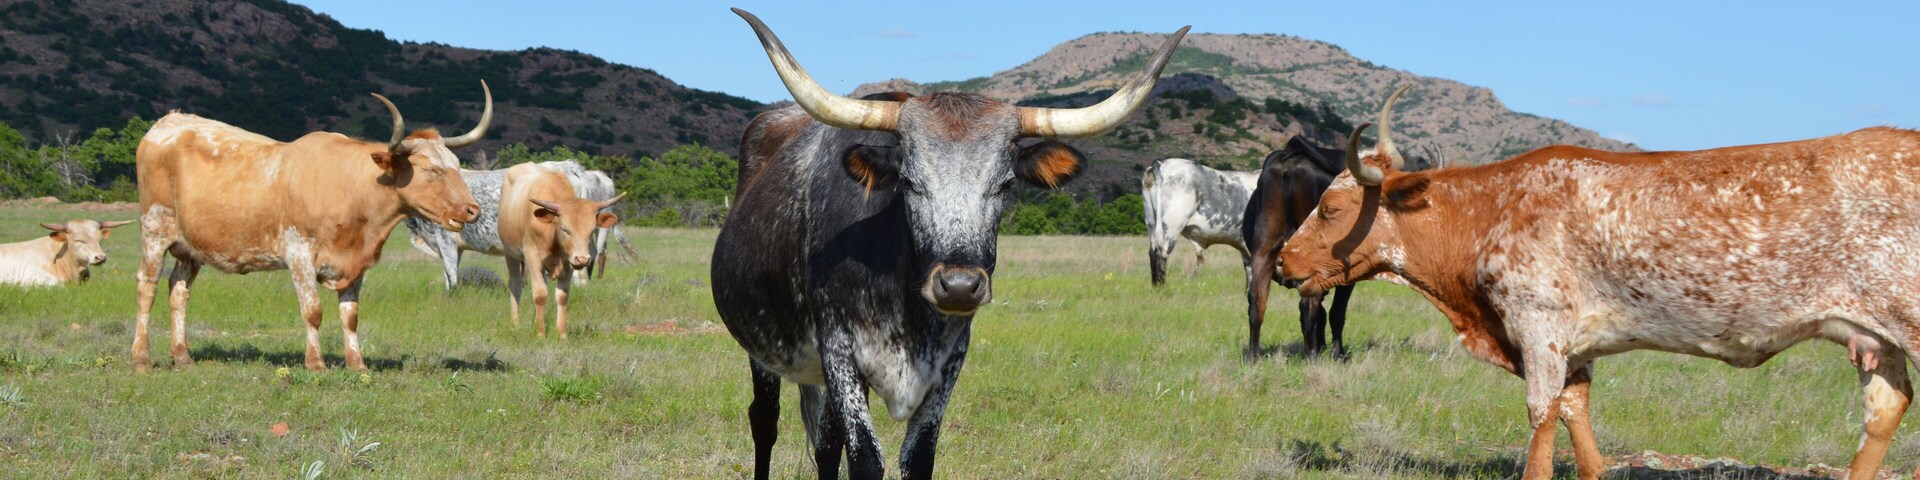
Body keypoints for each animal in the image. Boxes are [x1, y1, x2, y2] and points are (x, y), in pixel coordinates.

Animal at [131, 82, 490, 372]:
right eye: (431, 170)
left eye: (456, 165)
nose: (472, 210)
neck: (351, 189)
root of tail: (170, 122)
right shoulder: (299, 254)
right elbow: (313, 310)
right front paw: (315, 363)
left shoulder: (355, 263)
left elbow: (350, 314)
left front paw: (357, 364)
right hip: (154, 230)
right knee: (147, 287)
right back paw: (141, 359)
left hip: (190, 248)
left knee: (178, 291)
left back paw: (183, 357)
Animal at [497, 162, 623, 338]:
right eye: (564, 229)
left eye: (591, 230)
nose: (583, 259)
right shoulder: (533, 258)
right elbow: (540, 294)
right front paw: (541, 334)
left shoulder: (569, 263)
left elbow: (562, 296)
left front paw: (561, 333)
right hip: (511, 254)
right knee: (515, 285)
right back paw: (516, 324)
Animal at [710, 9, 1186, 479]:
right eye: (908, 181)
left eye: (1006, 184)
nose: (958, 286)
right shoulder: (839, 349)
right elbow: (864, 458)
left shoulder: (950, 360)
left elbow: (917, 456)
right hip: (763, 351)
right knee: (765, 422)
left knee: (825, 446)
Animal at [1240, 136, 1355, 359]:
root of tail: (1293, 160)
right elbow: (1336, 312)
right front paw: (1338, 354)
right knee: (1309, 306)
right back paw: (1312, 357)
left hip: (1264, 247)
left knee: (1256, 300)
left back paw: (1253, 358)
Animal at [1279, 84, 1920, 480]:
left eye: (1331, 208)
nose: (1284, 262)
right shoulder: (1575, 346)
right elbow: (1576, 419)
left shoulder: (1537, 327)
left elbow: (1541, 420)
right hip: (1876, 337)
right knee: (1886, 408)